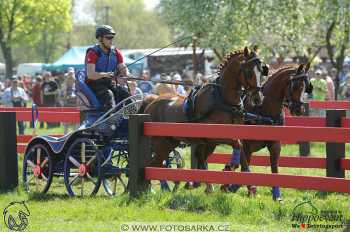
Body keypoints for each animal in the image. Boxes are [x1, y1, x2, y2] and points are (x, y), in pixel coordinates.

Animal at [141, 46, 266, 192]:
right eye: (248, 71)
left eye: (261, 70)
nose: (258, 98)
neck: (222, 99)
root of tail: (151, 101)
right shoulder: (214, 137)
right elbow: (236, 145)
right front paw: (231, 167)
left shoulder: (221, 138)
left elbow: (240, 152)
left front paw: (251, 188)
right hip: (159, 143)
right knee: (153, 164)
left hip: (170, 143)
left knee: (157, 163)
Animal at [226, 64, 314, 201]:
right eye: (296, 85)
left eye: (306, 86)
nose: (299, 109)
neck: (264, 110)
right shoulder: (246, 145)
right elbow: (245, 165)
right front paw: (245, 189)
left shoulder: (275, 145)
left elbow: (274, 168)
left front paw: (277, 196)